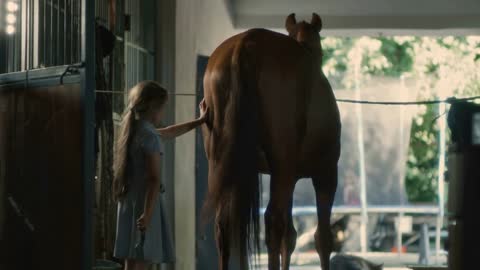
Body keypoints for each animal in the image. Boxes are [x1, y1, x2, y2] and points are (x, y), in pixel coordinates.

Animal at [202, 13, 342, 270]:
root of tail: (246, 43)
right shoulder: (325, 173)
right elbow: (323, 238)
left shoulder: (290, 177)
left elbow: (290, 235)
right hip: (283, 164)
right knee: (272, 220)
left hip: (224, 163)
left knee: (226, 224)